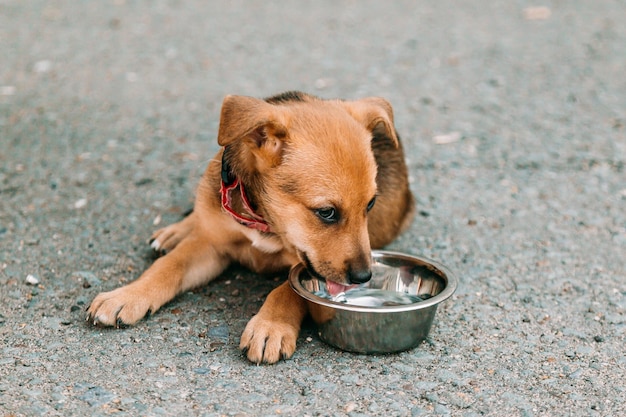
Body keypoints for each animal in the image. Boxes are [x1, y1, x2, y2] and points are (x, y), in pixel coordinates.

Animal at [85, 90, 412, 360]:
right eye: (327, 212)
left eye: (370, 205)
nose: (363, 276)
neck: (265, 221)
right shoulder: (211, 247)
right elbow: (168, 266)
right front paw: (126, 295)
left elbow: (287, 289)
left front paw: (270, 327)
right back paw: (175, 232)